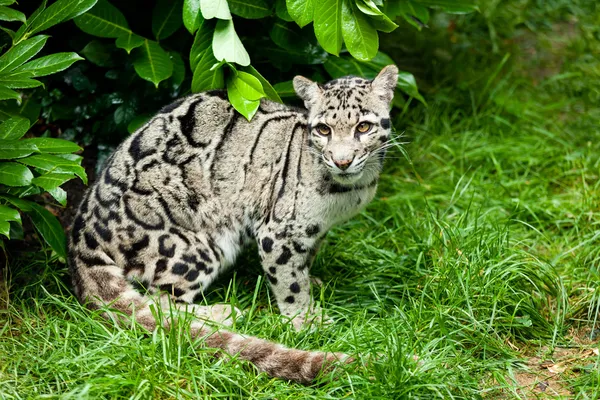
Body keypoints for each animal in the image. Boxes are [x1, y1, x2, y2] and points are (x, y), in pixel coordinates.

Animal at [69, 65, 398, 382]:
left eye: (363, 126)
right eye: (323, 129)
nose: (342, 161)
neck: (346, 194)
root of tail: (80, 236)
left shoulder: (316, 230)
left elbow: (305, 262)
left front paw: (313, 283)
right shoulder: (277, 232)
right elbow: (289, 282)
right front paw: (305, 321)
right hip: (198, 246)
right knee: (160, 301)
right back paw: (222, 313)